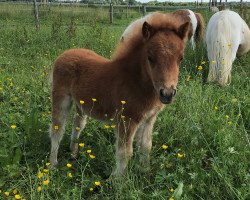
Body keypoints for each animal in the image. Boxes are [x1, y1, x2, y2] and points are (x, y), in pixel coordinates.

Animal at [48, 12, 190, 175]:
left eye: (181, 58)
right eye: (150, 57)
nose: (167, 93)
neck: (135, 81)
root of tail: (64, 54)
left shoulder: (149, 119)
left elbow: (146, 146)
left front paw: (145, 172)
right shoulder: (126, 120)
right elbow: (125, 153)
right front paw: (117, 179)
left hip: (80, 104)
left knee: (77, 124)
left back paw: (73, 154)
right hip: (61, 98)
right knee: (57, 129)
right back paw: (52, 165)